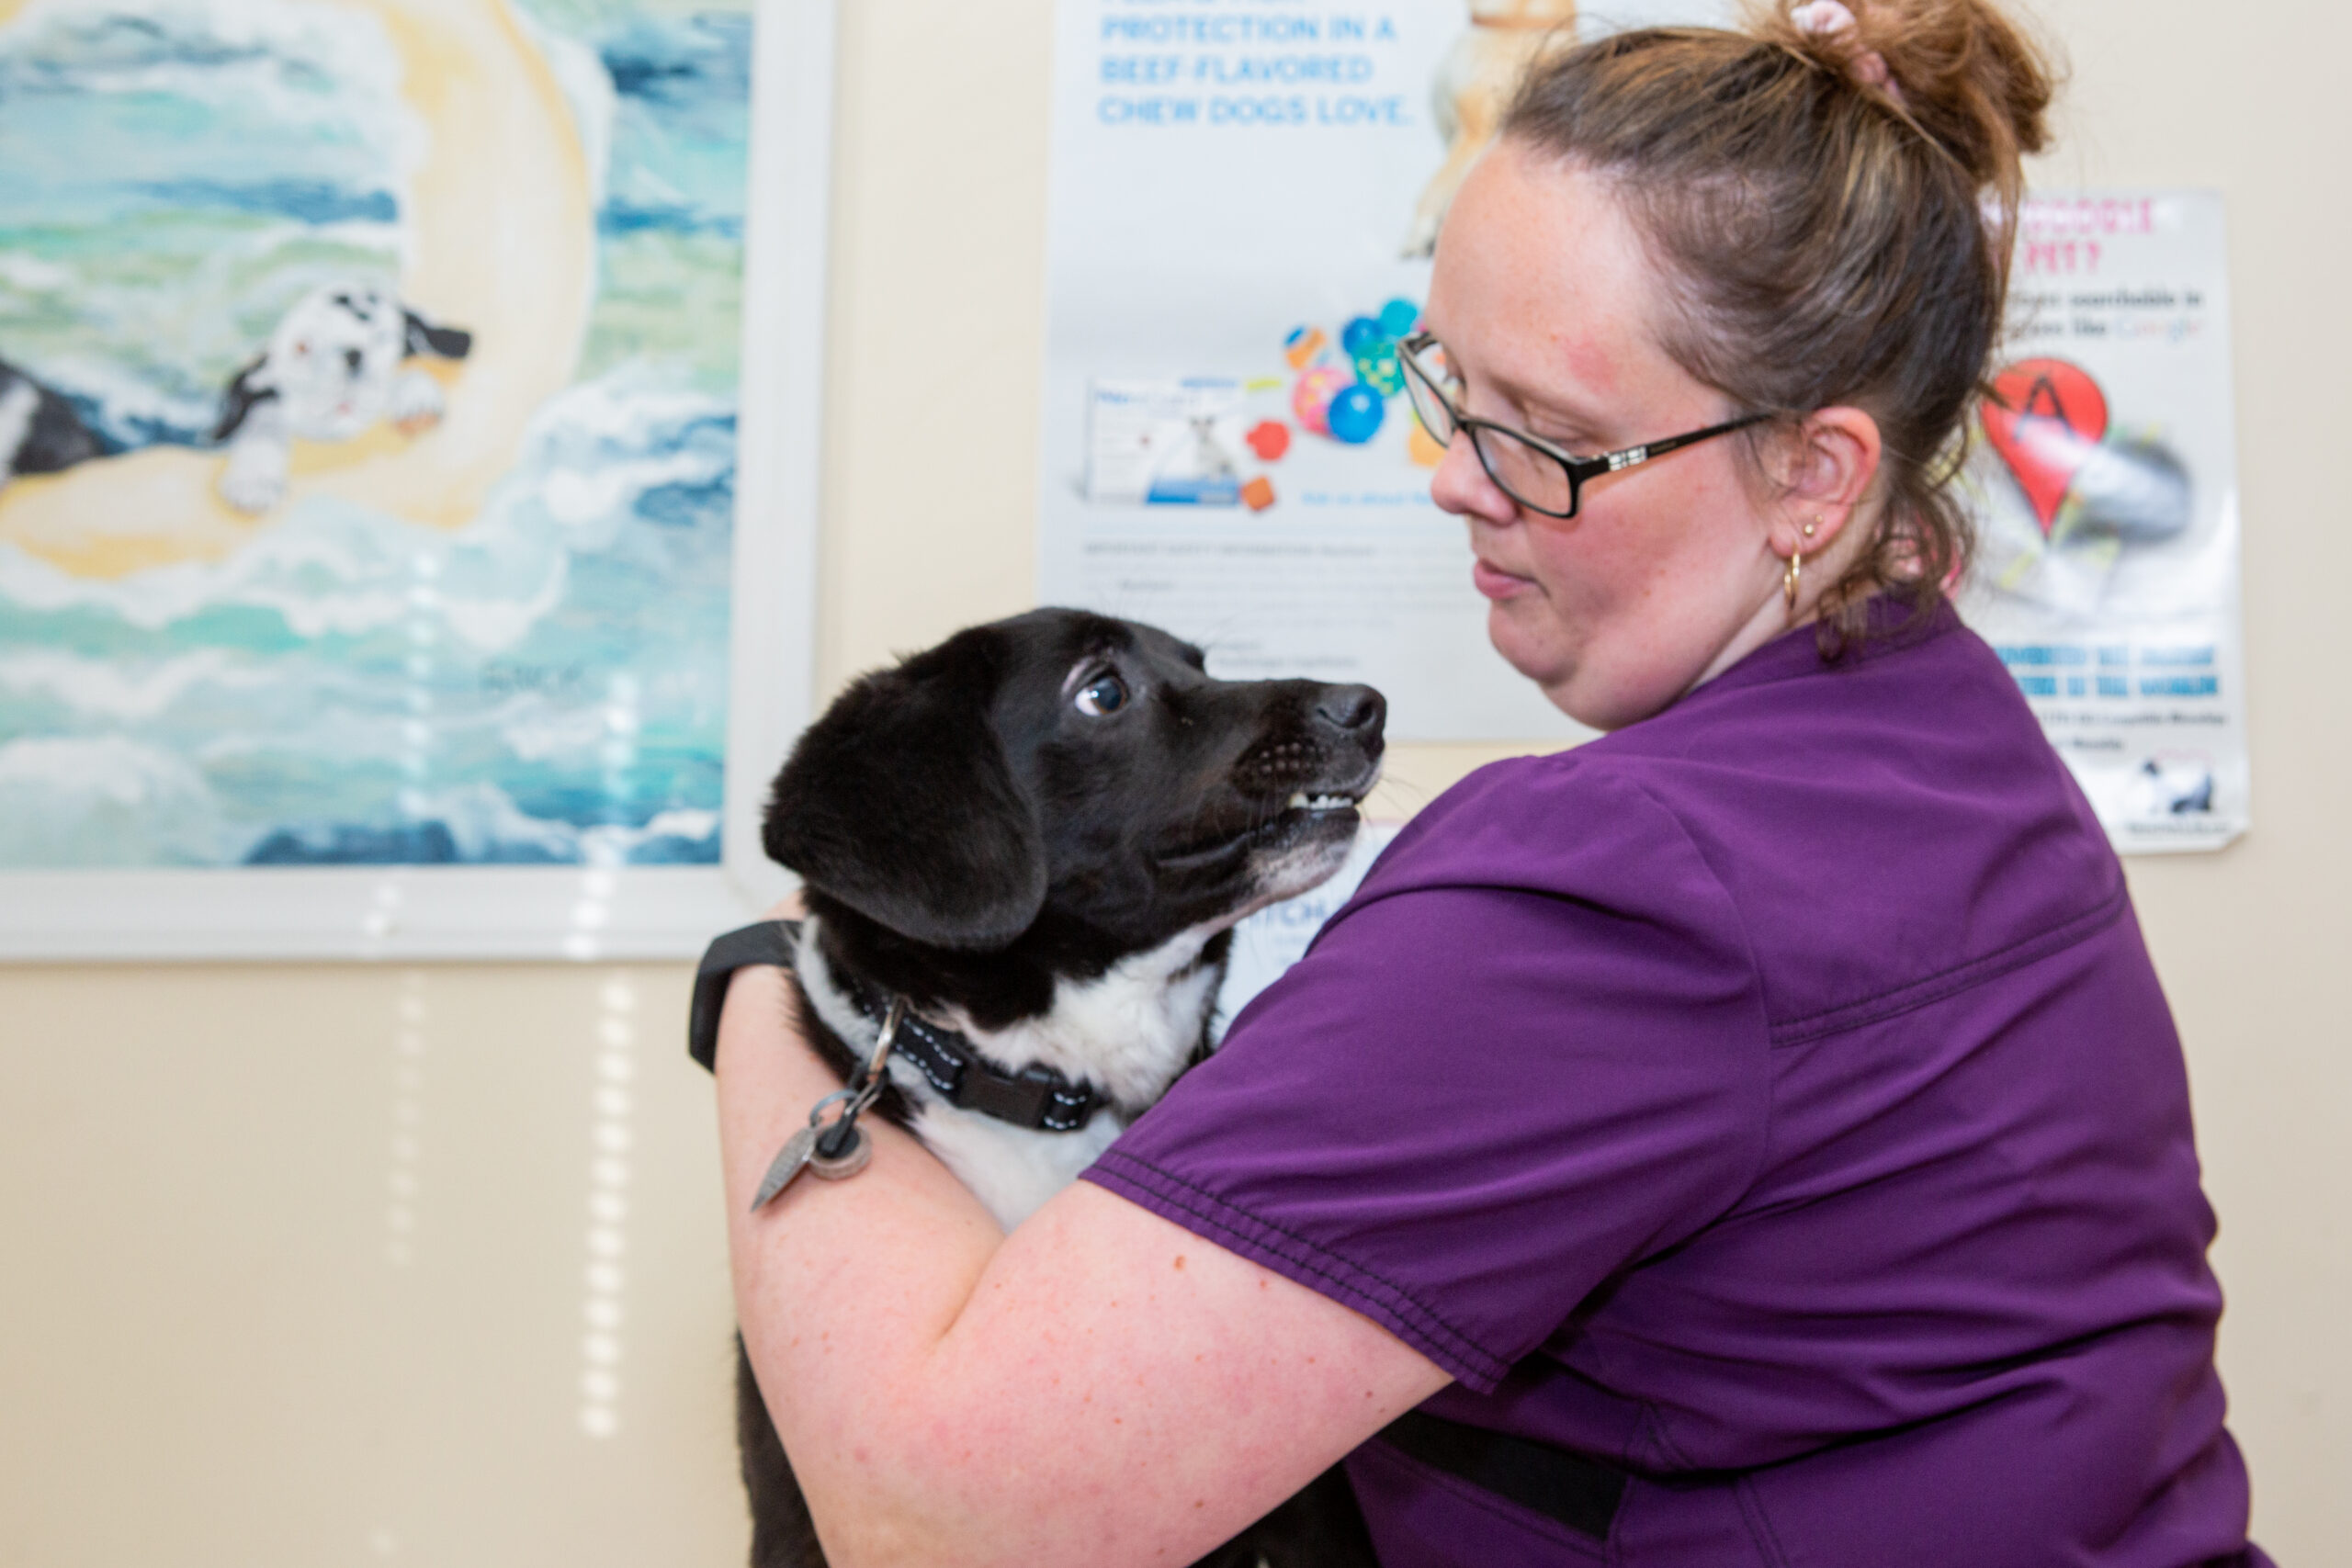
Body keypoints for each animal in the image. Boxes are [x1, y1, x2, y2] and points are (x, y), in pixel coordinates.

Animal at [213, 276, 470, 510]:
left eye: (381, 337)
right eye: (302, 347)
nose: (353, 355)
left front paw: (416, 402)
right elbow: (263, 426)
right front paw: (255, 480)